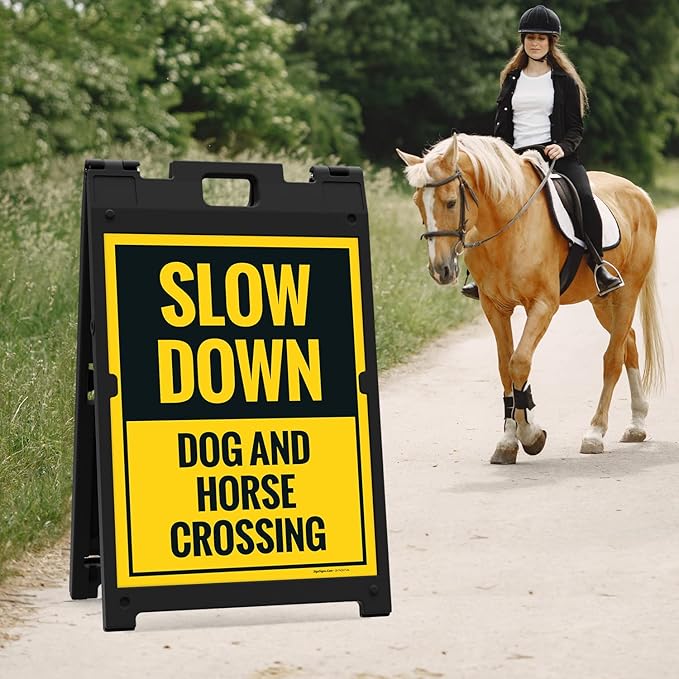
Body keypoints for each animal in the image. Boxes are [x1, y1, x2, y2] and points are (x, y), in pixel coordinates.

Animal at [397, 133, 664, 464]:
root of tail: (640, 194)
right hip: (602, 301)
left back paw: (595, 433)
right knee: (629, 342)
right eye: (418, 203)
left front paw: (531, 435)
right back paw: (637, 423)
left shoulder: (543, 305)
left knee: (613, 358)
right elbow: (505, 367)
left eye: (451, 202)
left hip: (627, 293)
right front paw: (509, 441)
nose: (441, 269)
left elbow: (520, 361)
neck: (507, 226)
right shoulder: (495, 308)